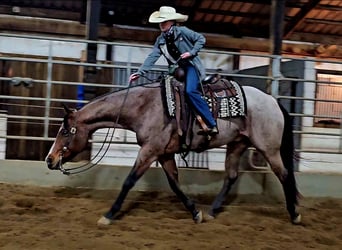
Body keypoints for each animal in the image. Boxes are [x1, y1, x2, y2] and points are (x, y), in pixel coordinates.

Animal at [44, 78, 302, 227]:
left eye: (65, 131)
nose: (49, 159)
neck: (144, 106)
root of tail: (273, 101)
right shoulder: (164, 153)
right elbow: (174, 183)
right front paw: (195, 212)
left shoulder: (150, 150)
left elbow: (129, 181)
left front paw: (108, 215)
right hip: (237, 144)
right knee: (231, 177)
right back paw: (212, 212)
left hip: (269, 148)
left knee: (284, 175)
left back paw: (295, 215)